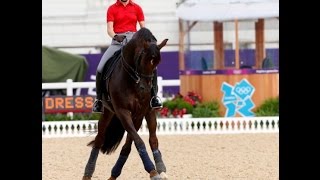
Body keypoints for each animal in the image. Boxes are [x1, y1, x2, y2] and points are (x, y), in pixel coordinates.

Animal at [82, 27, 168, 180]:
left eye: (157, 64)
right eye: (141, 59)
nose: (145, 89)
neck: (131, 79)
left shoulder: (139, 113)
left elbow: (132, 143)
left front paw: (155, 170)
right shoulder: (122, 111)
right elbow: (138, 141)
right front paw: (152, 171)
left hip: (148, 112)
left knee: (151, 139)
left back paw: (160, 169)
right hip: (108, 112)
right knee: (99, 139)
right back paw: (88, 173)